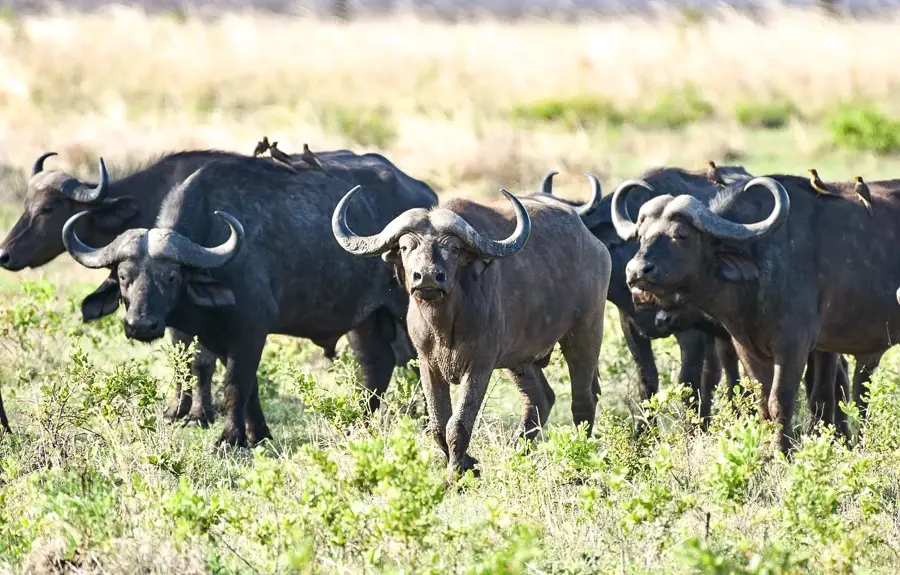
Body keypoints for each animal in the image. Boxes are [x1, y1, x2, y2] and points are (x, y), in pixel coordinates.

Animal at [63, 155, 437, 446]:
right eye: (124, 277)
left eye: (170, 277)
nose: (141, 325)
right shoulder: (218, 337)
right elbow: (246, 384)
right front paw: (257, 435)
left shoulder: (251, 330)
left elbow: (235, 385)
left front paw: (230, 438)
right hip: (365, 319)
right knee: (376, 366)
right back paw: (358, 422)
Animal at [332, 178, 611, 477]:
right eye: (406, 247)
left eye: (453, 249)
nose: (427, 277)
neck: (445, 325)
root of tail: (594, 245)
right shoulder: (427, 363)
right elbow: (438, 424)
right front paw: (467, 464)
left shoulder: (479, 366)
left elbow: (458, 424)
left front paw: (456, 473)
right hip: (521, 360)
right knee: (541, 400)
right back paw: (515, 454)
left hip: (585, 332)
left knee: (583, 399)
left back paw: (580, 456)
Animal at [612, 174, 896, 451]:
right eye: (641, 235)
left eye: (681, 234)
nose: (636, 271)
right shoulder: (747, 349)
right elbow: (762, 403)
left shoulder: (794, 347)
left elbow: (780, 402)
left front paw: (784, 452)